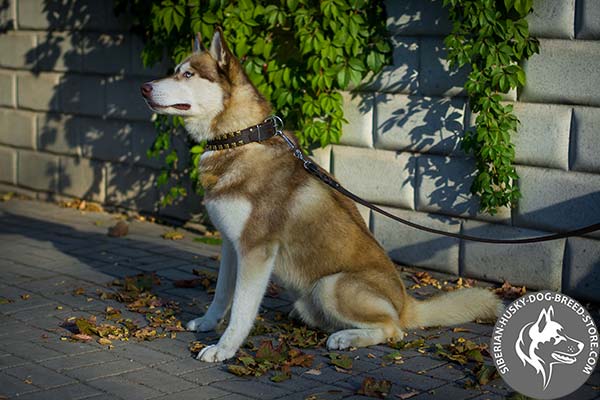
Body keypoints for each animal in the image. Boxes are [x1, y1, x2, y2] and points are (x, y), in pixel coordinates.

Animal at [142, 26, 502, 360]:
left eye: (187, 74)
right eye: (176, 70)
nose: (144, 87)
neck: (240, 138)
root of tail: (405, 302)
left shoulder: (256, 250)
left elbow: (242, 310)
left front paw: (224, 348)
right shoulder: (232, 245)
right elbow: (221, 295)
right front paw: (206, 323)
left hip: (330, 285)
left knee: (393, 329)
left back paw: (347, 337)